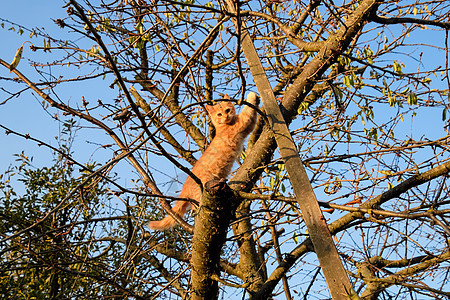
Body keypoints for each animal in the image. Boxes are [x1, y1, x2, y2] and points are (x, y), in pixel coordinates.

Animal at [149, 91, 260, 230]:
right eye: (219, 114)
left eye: (228, 110)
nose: (226, 116)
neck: (224, 126)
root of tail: (186, 185)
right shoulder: (243, 122)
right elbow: (247, 110)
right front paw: (251, 95)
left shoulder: (247, 126)